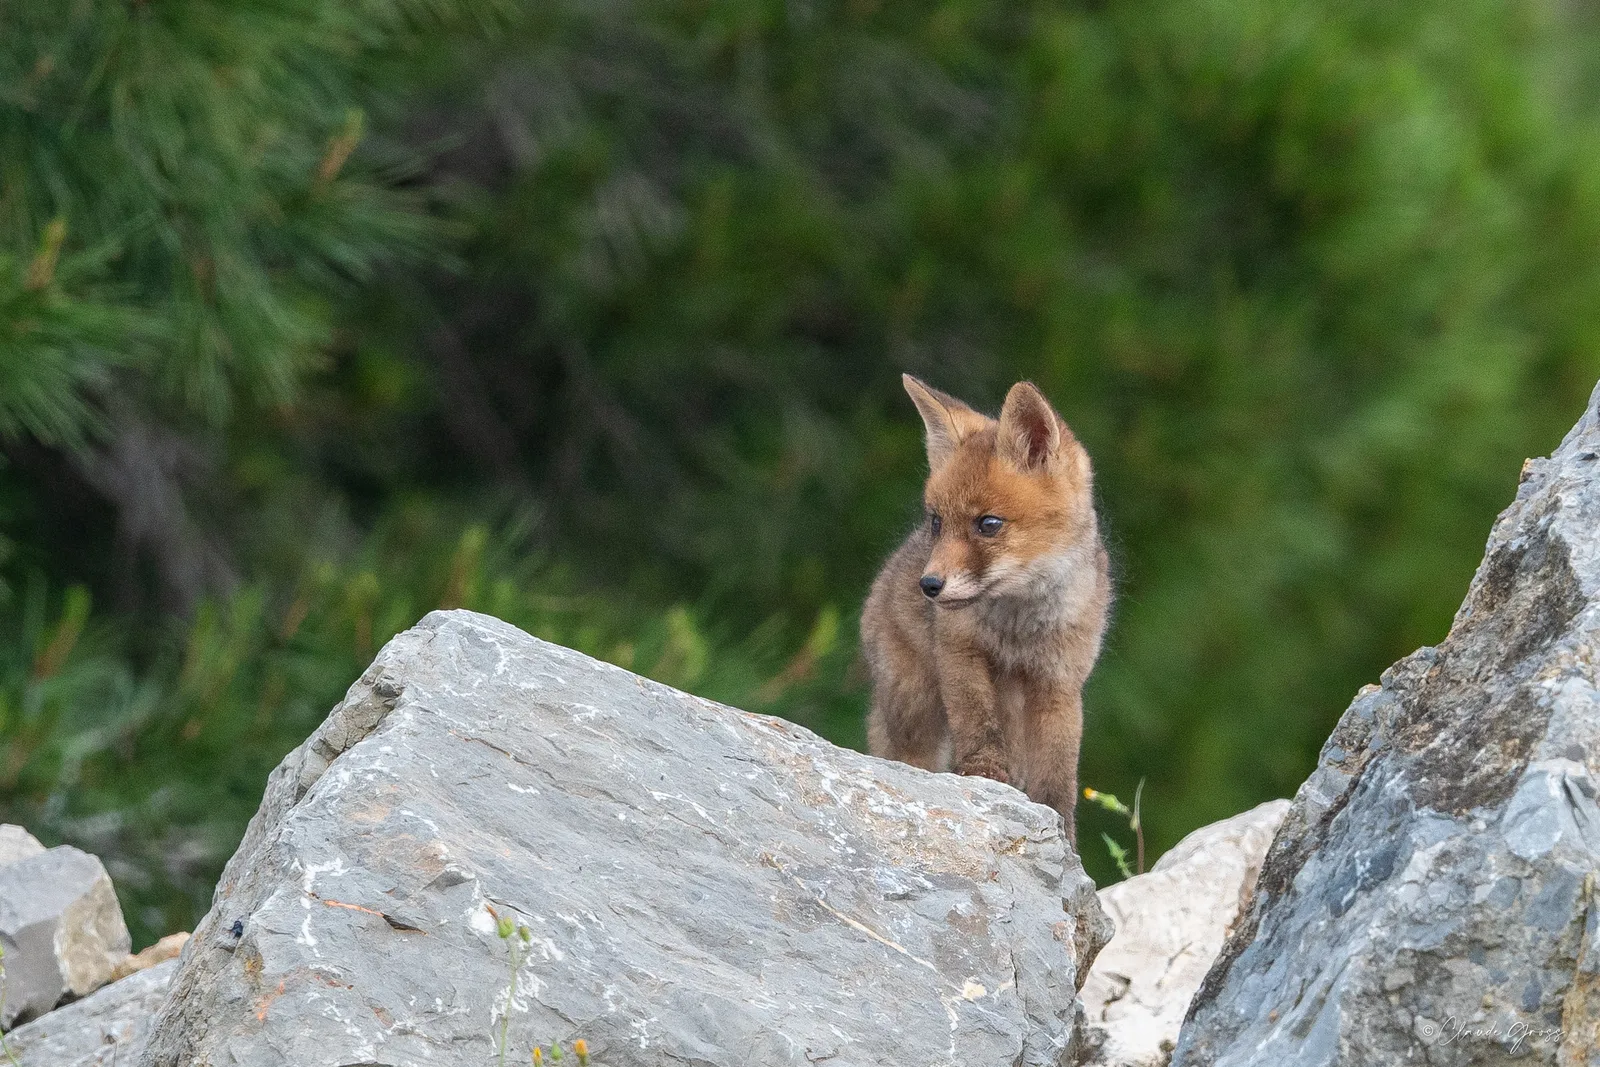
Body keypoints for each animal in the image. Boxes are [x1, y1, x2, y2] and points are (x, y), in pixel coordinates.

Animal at [861, 375, 1111, 843]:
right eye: (937, 522)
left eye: (988, 524)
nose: (929, 585)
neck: (1017, 626)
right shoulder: (960, 653)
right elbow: (977, 723)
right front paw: (983, 776)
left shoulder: (1060, 681)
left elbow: (1058, 772)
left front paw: (1062, 834)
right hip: (914, 708)